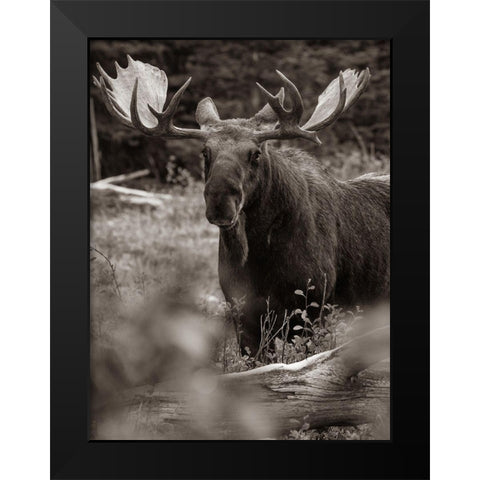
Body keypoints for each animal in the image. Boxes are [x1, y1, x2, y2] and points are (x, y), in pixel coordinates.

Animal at [94, 57, 390, 356]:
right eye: (205, 152)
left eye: (255, 153)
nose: (220, 202)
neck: (260, 257)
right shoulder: (241, 311)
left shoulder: (313, 305)